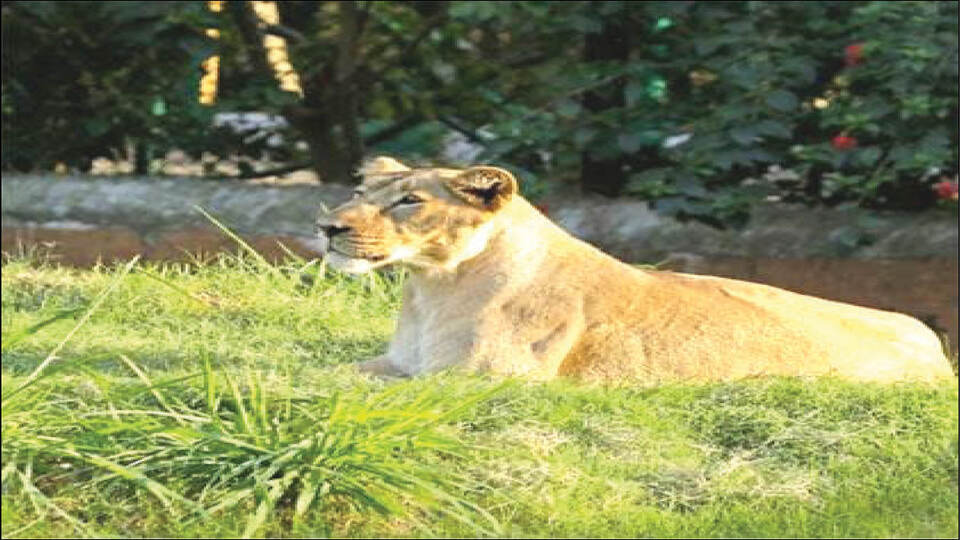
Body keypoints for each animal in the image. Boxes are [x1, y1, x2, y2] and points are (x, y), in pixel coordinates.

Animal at [314, 157, 955, 383]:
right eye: (360, 191)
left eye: (409, 201)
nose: (328, 227)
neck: (431, 288)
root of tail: (936, 348)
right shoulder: (405, 363)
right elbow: (341, 370)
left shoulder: (483, 381)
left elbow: (349, 383)